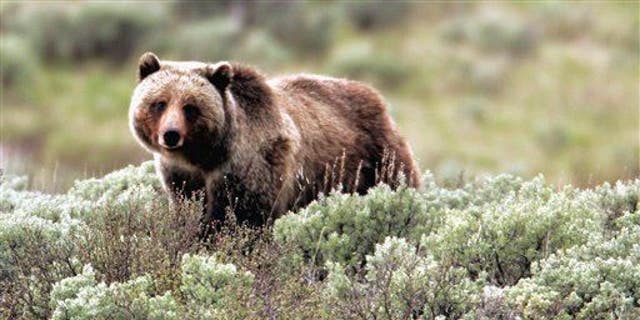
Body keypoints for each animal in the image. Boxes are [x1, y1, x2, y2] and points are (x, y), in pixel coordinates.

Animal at [129, 52, 420, 228]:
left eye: (190, 107)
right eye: (160, 103)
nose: (171, 135)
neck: (206, 156)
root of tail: (377, 97)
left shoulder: (252, 165)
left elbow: (245, 216)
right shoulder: (181, 175)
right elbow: (189, 207)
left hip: (375, 158)